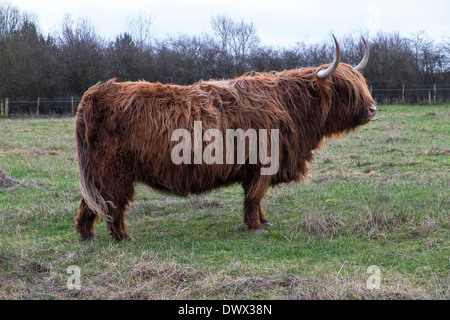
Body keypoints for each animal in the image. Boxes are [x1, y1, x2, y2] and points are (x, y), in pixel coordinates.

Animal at [76, 36, 376, 240]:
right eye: (345, 89)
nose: (373, 110)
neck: (290, 105)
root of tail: (95, 93)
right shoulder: (261, 164)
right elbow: (254, 197)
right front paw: (255, 226)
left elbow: (256, 198)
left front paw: (264, 221)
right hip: (114, 171)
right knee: (113, 203)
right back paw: (122, 236)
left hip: (99, 173)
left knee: (91, 202)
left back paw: (86, 234)